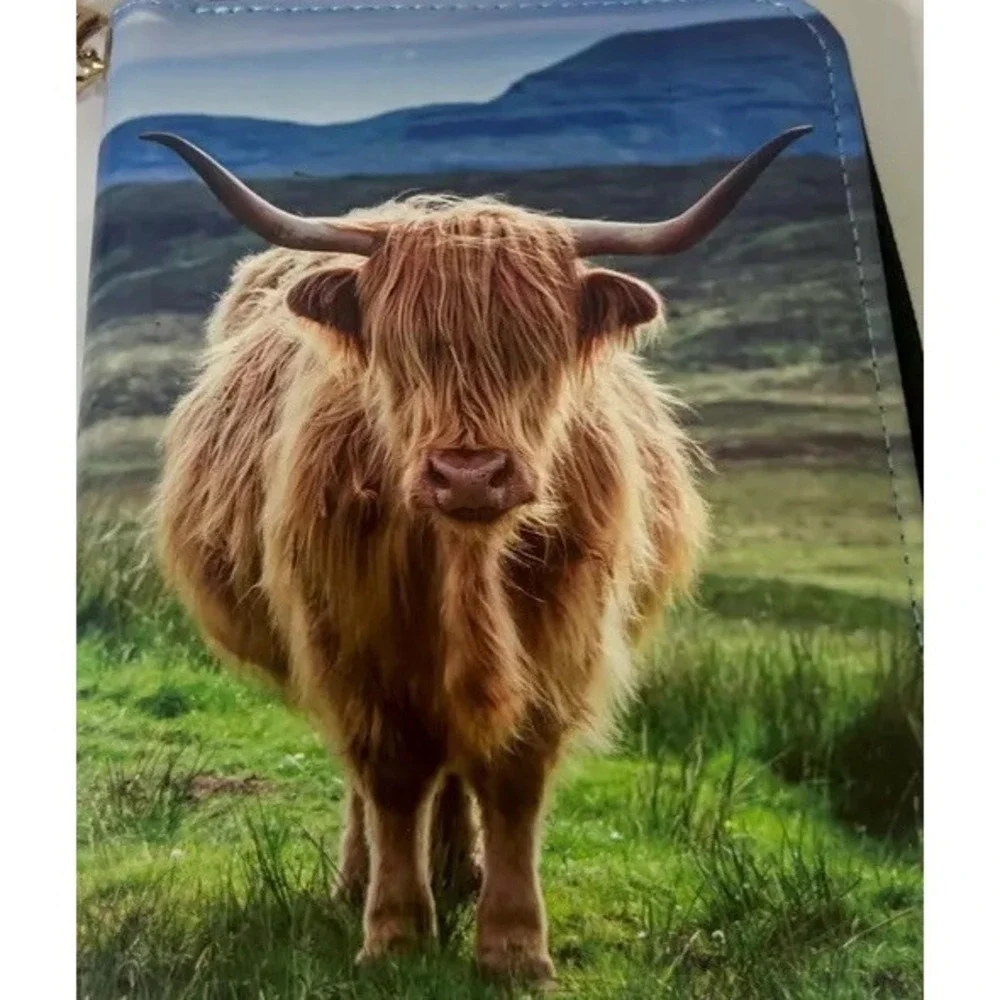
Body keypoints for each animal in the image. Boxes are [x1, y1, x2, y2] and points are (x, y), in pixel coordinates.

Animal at [145, 125, 810, 982]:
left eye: (538, 350)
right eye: (402, 350)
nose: (469, 473)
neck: (467, 563)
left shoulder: (559, 641)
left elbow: (513, 777)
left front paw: (514, 944)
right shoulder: (352, 641)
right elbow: (392, 776)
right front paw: (394, 932)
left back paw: (461, 869)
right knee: (372, 778)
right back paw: (361, 879)